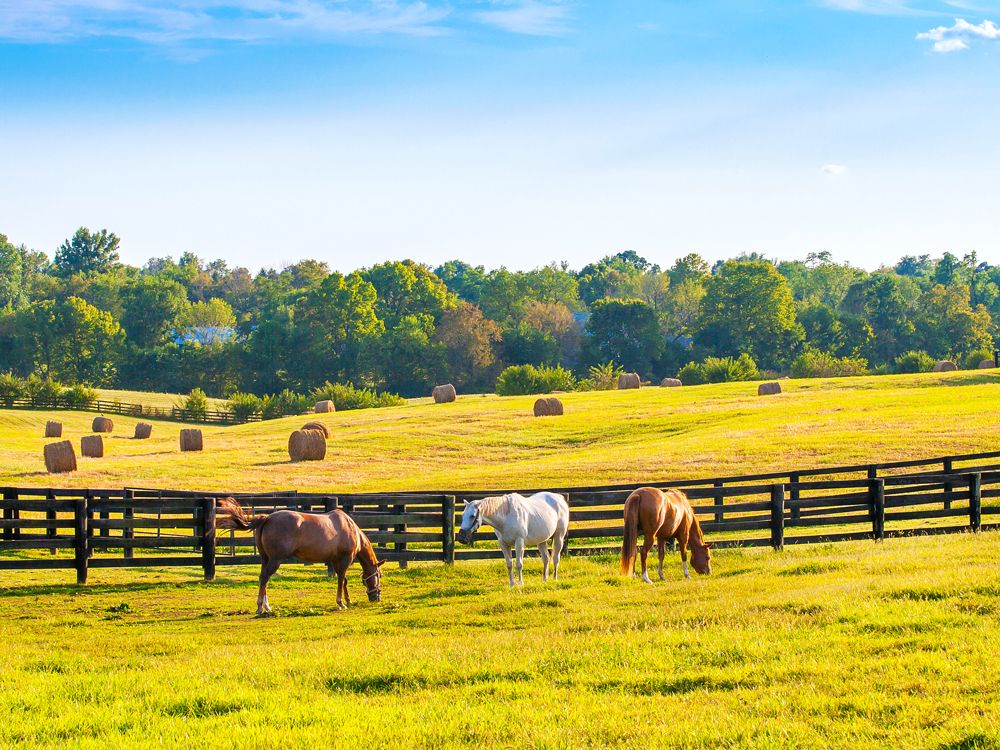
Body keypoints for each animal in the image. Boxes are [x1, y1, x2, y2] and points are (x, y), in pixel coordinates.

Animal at [215, 497, 384, 614]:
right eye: (379, 575)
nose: (376, 598)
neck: (350, 528)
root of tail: (267, 518)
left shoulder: (335, 561)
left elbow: (344, 581)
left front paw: (348, 601)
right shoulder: (344, 559)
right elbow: (342, 579)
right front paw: (341, 603)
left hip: (265, 559)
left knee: (262, 577)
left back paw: (267, 606)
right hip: (275, 560)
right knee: (265, 578)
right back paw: (260, 607)